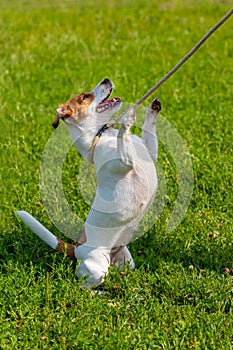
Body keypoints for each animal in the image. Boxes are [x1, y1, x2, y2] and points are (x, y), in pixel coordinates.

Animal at [17, 78, 161, 288]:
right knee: (84, 286)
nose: (106, 79)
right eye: (85, 96)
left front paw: (153, 108)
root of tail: (77, 248)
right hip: (97, 266)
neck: (102, 134)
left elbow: (149, 128)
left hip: (126, 259)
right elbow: (123, 136)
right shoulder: (125, 161)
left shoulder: (150, 151)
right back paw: (99, 293)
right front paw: (128, 119)